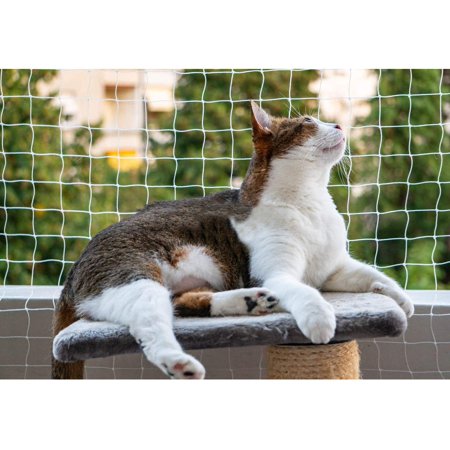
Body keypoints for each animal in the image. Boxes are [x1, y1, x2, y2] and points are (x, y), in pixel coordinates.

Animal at [51, 102, 414, 380]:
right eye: (308, 124)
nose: (338, 123)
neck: (310, 203)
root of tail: (73, 272)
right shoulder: (276, 273)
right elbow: (307, 292)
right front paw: (321, 320)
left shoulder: (333, 269)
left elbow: (372, 274)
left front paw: (402, 300)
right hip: (133, 277)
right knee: (151, 326)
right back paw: (181, 362)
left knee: (182, 302)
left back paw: (252, 301)